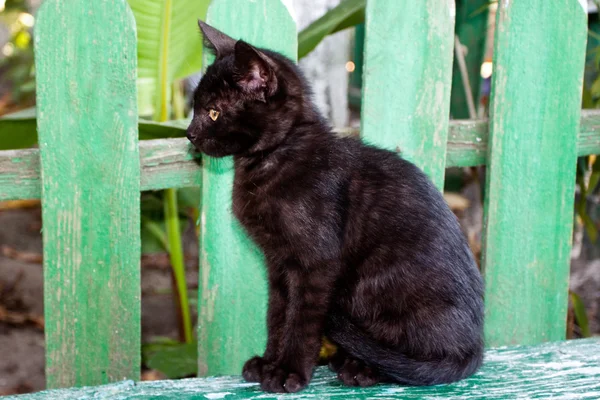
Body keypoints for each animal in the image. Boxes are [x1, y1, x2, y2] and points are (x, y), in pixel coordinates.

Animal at [185, 20, 486, 392]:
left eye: (213, 112)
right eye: (195, 109)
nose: (188, 134)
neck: (276, 157)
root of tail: (475, 350)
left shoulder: (316, 263)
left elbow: (301, 321)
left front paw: (288, 372)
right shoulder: (278, 263)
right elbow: (277, 314)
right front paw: (268, 362)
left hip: (373, 288)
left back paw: (361, 366)